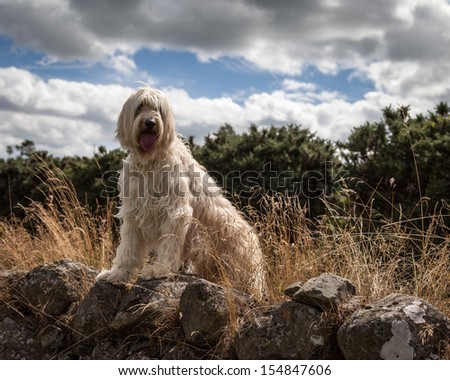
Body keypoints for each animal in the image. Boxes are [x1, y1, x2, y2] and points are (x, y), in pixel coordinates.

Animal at [95, 87, 264, 296]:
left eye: (158, 109)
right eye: (141, 106)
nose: (150, 123)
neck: (151, 160)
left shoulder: (175, 210)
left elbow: (170, 243)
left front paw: (159, 269)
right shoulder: (134, 210)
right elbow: (128, 248)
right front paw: (117, 274)